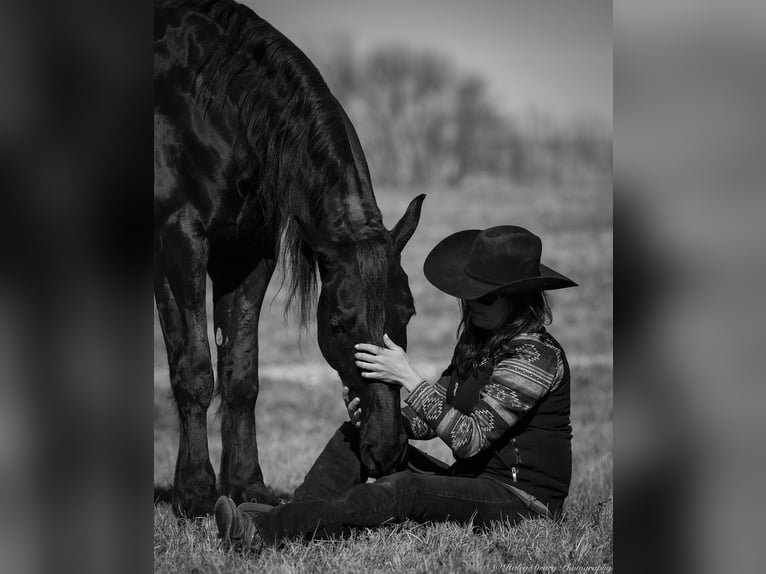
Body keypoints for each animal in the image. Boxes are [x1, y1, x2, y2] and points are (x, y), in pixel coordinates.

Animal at [155, 0, 426, 516]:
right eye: (338, 324)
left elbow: (241, 375)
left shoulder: (249, 253)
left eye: (408, 314)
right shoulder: (178, 238)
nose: (386, 450)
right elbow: (194, 369)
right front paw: (195, 493)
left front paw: (247, 487)